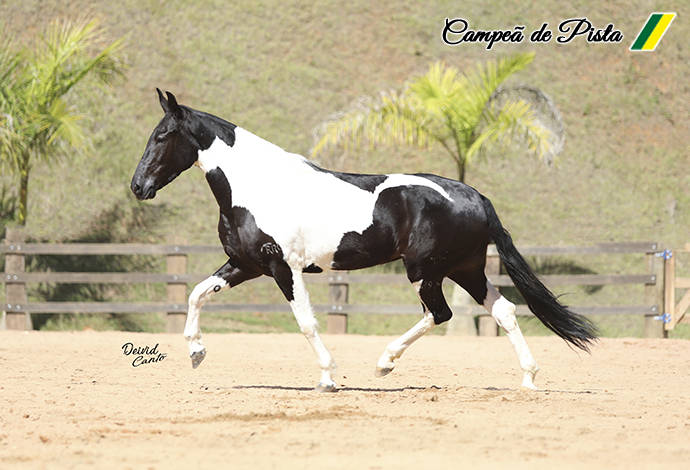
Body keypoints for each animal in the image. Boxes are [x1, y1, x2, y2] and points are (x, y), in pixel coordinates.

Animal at [132, 90, 592, 392]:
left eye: (161, 136)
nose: (138, 186)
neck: (258, 188)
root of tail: (476, 196)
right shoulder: (245, 264)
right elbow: (196, 293)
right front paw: (196, 353)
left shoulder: (284, 267)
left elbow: (306, 322)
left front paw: (328, 377)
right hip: (466, 269)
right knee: (504, 310)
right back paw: (529, 379)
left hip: (425, 270)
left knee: (439, 313)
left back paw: (384, 363)